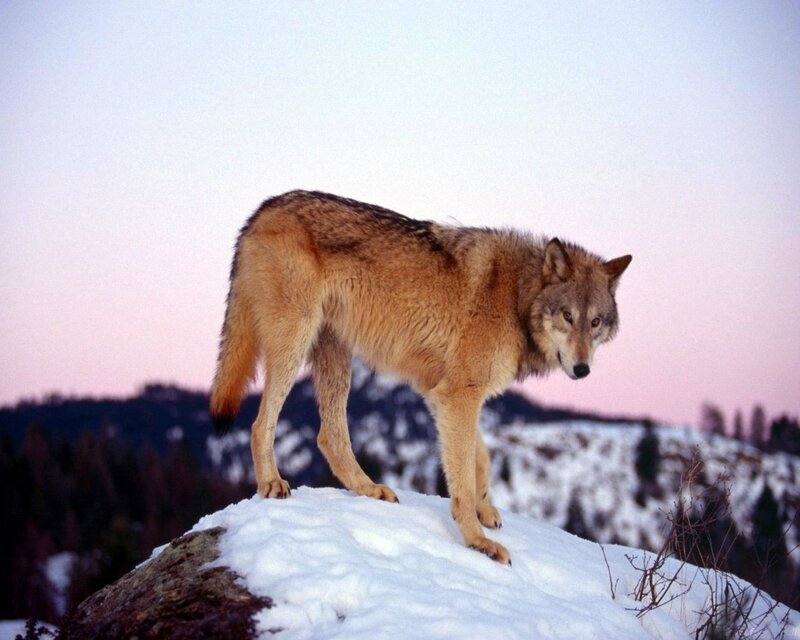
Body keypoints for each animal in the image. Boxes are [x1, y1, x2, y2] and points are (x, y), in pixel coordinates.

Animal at [210, 190, 631, 564]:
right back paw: (271, 484)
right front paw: (477, 541)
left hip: (335, 354)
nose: (582, 369)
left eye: (595, 322)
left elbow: (481, 456)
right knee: (260, 423)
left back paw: (369, 489)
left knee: (329, 436)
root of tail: (263, 209)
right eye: (567, 317)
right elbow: (463, 477)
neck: (516, 296)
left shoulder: (442, 394)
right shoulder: (458, 396)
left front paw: (485, 511)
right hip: (295, 342)